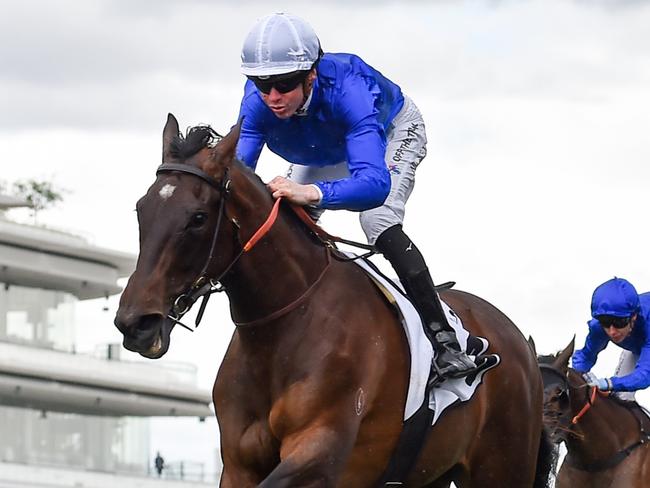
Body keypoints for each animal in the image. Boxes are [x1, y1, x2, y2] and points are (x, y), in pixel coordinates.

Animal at [116, 115, 552, 488]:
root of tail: (520, 343)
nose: (134, 322)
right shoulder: (239, 464)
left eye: (198, 218)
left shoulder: (322, 454)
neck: (284, 329)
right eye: (140, 209)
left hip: (502, 467)